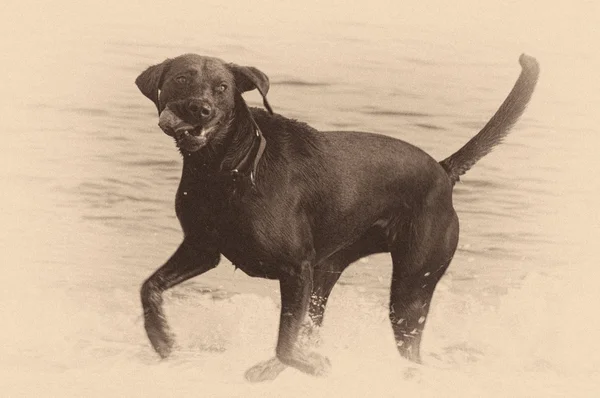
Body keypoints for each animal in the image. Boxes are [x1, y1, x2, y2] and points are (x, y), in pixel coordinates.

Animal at [135, 52, 540, 380]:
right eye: (181, 79)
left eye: (222, 87)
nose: (199, 109)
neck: (226, 168)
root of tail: (443, 172)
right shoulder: (202, 248)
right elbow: (149, 287)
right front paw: (163, 340)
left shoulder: (295, 269)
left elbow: (285, 342)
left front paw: (314, 367)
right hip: (327, 273)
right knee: (313, 325)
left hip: (410, 287)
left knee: (406, 344)